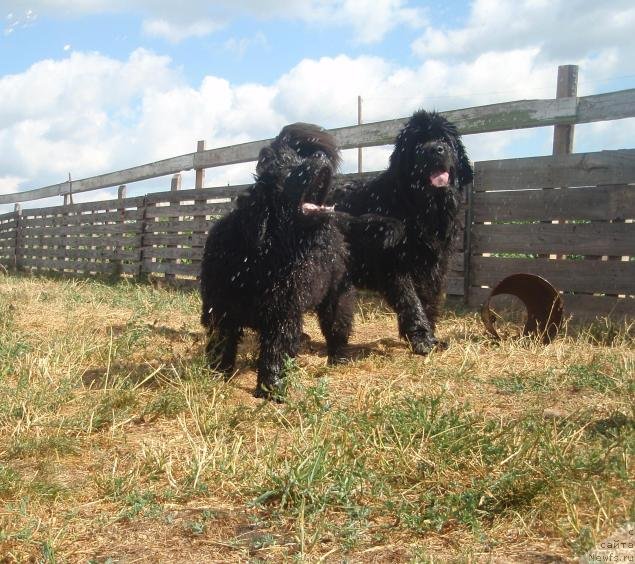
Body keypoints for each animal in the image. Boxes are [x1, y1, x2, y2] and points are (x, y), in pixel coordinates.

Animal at [201, 123, 356, 398]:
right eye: (288, 169)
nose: (320, 156)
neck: (261, 260)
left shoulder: (283, 313)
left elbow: (276, 350)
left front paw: (271, 389)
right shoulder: (220, 308)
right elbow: (222, 344)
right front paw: (217, 376)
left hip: (336, 297)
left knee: (337, 328)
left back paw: (338, 358)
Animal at [332, 110, 472, 354]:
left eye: (444, 140)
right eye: (417, 143)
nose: (436, 149)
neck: (421, 208)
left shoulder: (435, 266)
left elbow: (428, 301)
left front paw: (431, 336)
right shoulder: (395, 264)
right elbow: (411, 301)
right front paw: (422, 338)